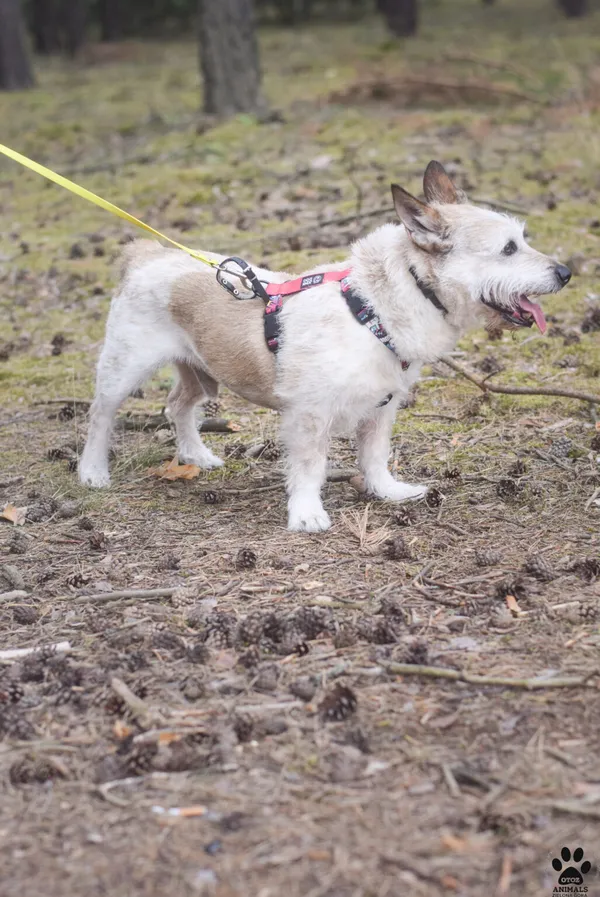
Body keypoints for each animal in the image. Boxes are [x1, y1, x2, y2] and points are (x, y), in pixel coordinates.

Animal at [79, 161, 572, 528]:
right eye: (508, 249)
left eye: (521, 240)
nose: (566, 273)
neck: (374, 307)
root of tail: (145, 254)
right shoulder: (309, 415)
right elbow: (310, 467)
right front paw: (306, 514)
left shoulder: (381, 407)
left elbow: (375, 456)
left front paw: (388, 492)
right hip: (123, 369)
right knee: (100, 416)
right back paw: (92, 471)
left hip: (203, 372)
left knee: (179, 405)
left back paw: (195, 454)